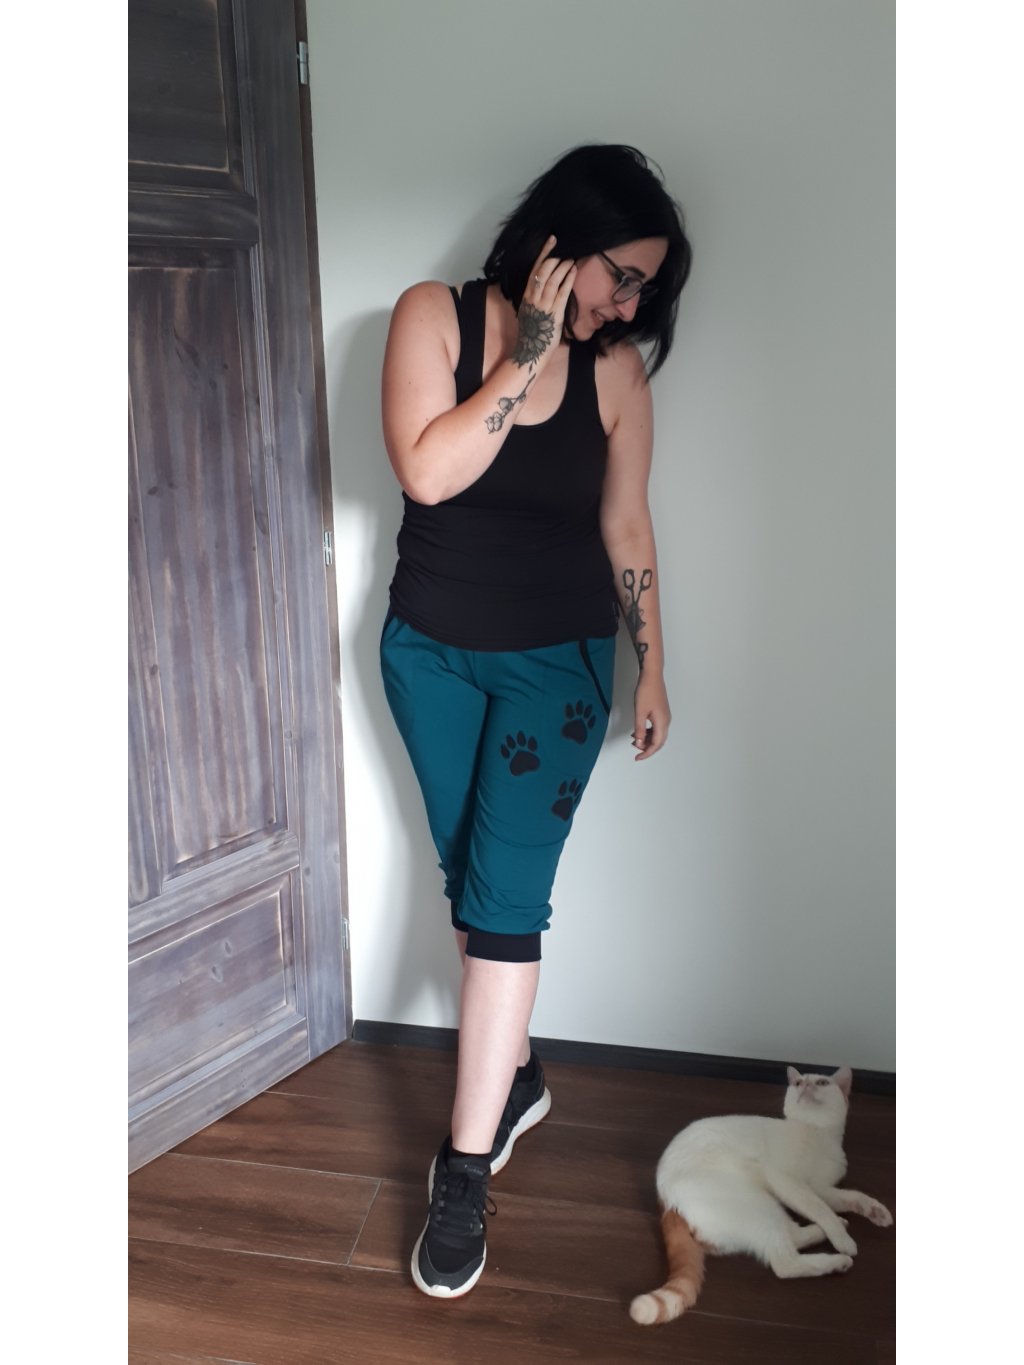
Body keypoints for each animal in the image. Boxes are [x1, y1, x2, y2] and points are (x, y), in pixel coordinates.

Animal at [630, 1066, 893, 1326]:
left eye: (821, 1083)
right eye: (798, 1083)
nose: (806, 1086)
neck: (818, 1134)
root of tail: (666, 1204)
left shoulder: (820, 1187)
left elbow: (848, 1198)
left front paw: (875, 1212)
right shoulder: (788, 1181)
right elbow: (820, 1208)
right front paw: (842, 1239)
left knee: (791, 1236)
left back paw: (829, 1230)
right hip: (759, 1204)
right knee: (784, 1262)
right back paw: (836, 1260)